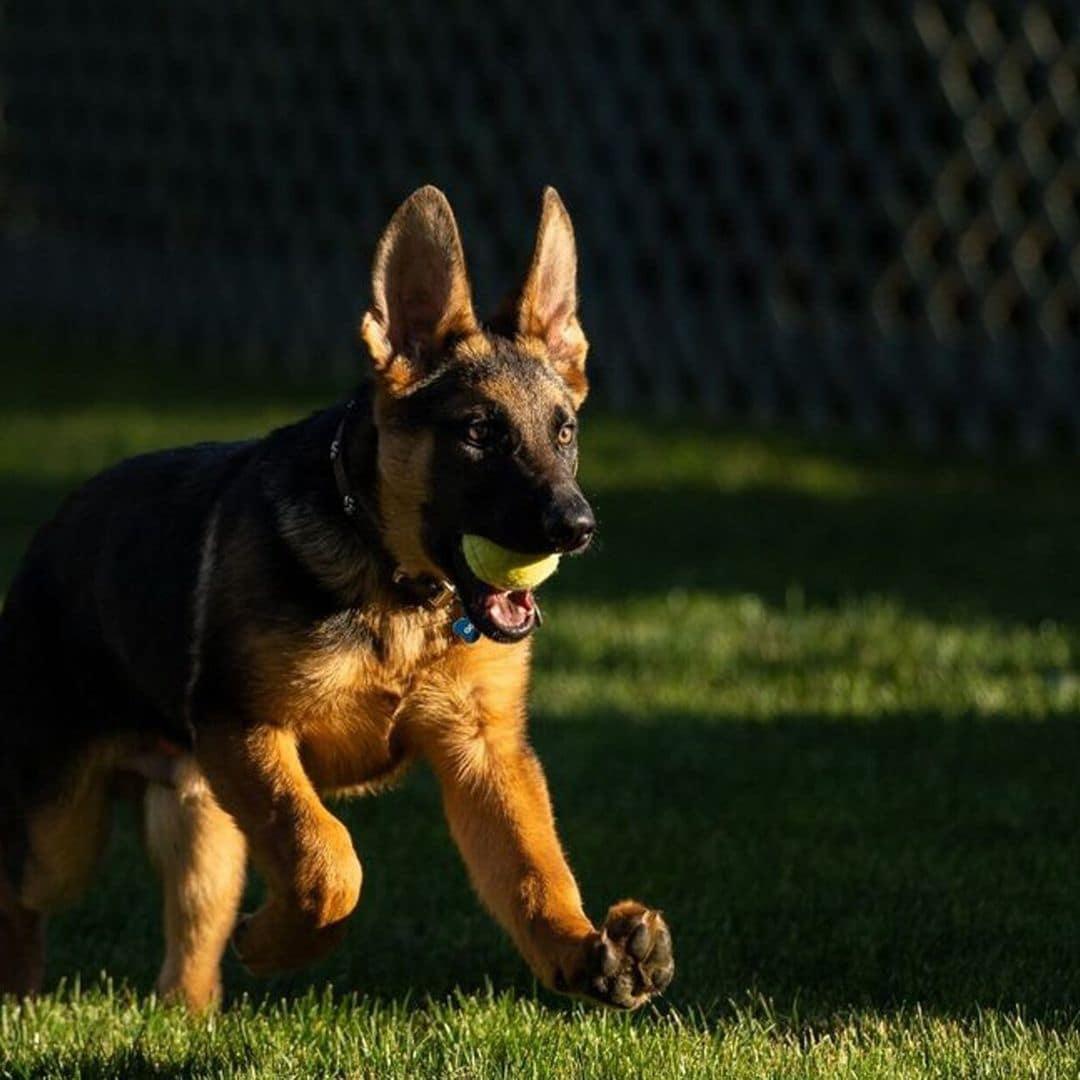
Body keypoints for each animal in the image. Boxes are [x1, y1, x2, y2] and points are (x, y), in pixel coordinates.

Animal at [0, 187, 669, 1010]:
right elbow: (328, 856)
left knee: (188, 940)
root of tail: (51, 532)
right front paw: (279, 943)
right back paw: (21, 987)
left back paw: (191, 1012)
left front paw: (587, 952)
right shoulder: (248, 728)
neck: (399, 591)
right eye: (480, 432)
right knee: (19, 893)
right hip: (62, 829)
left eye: (565, 431)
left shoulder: (485, 754)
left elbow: (533, 870)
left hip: (201, 818)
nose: (576, 528)